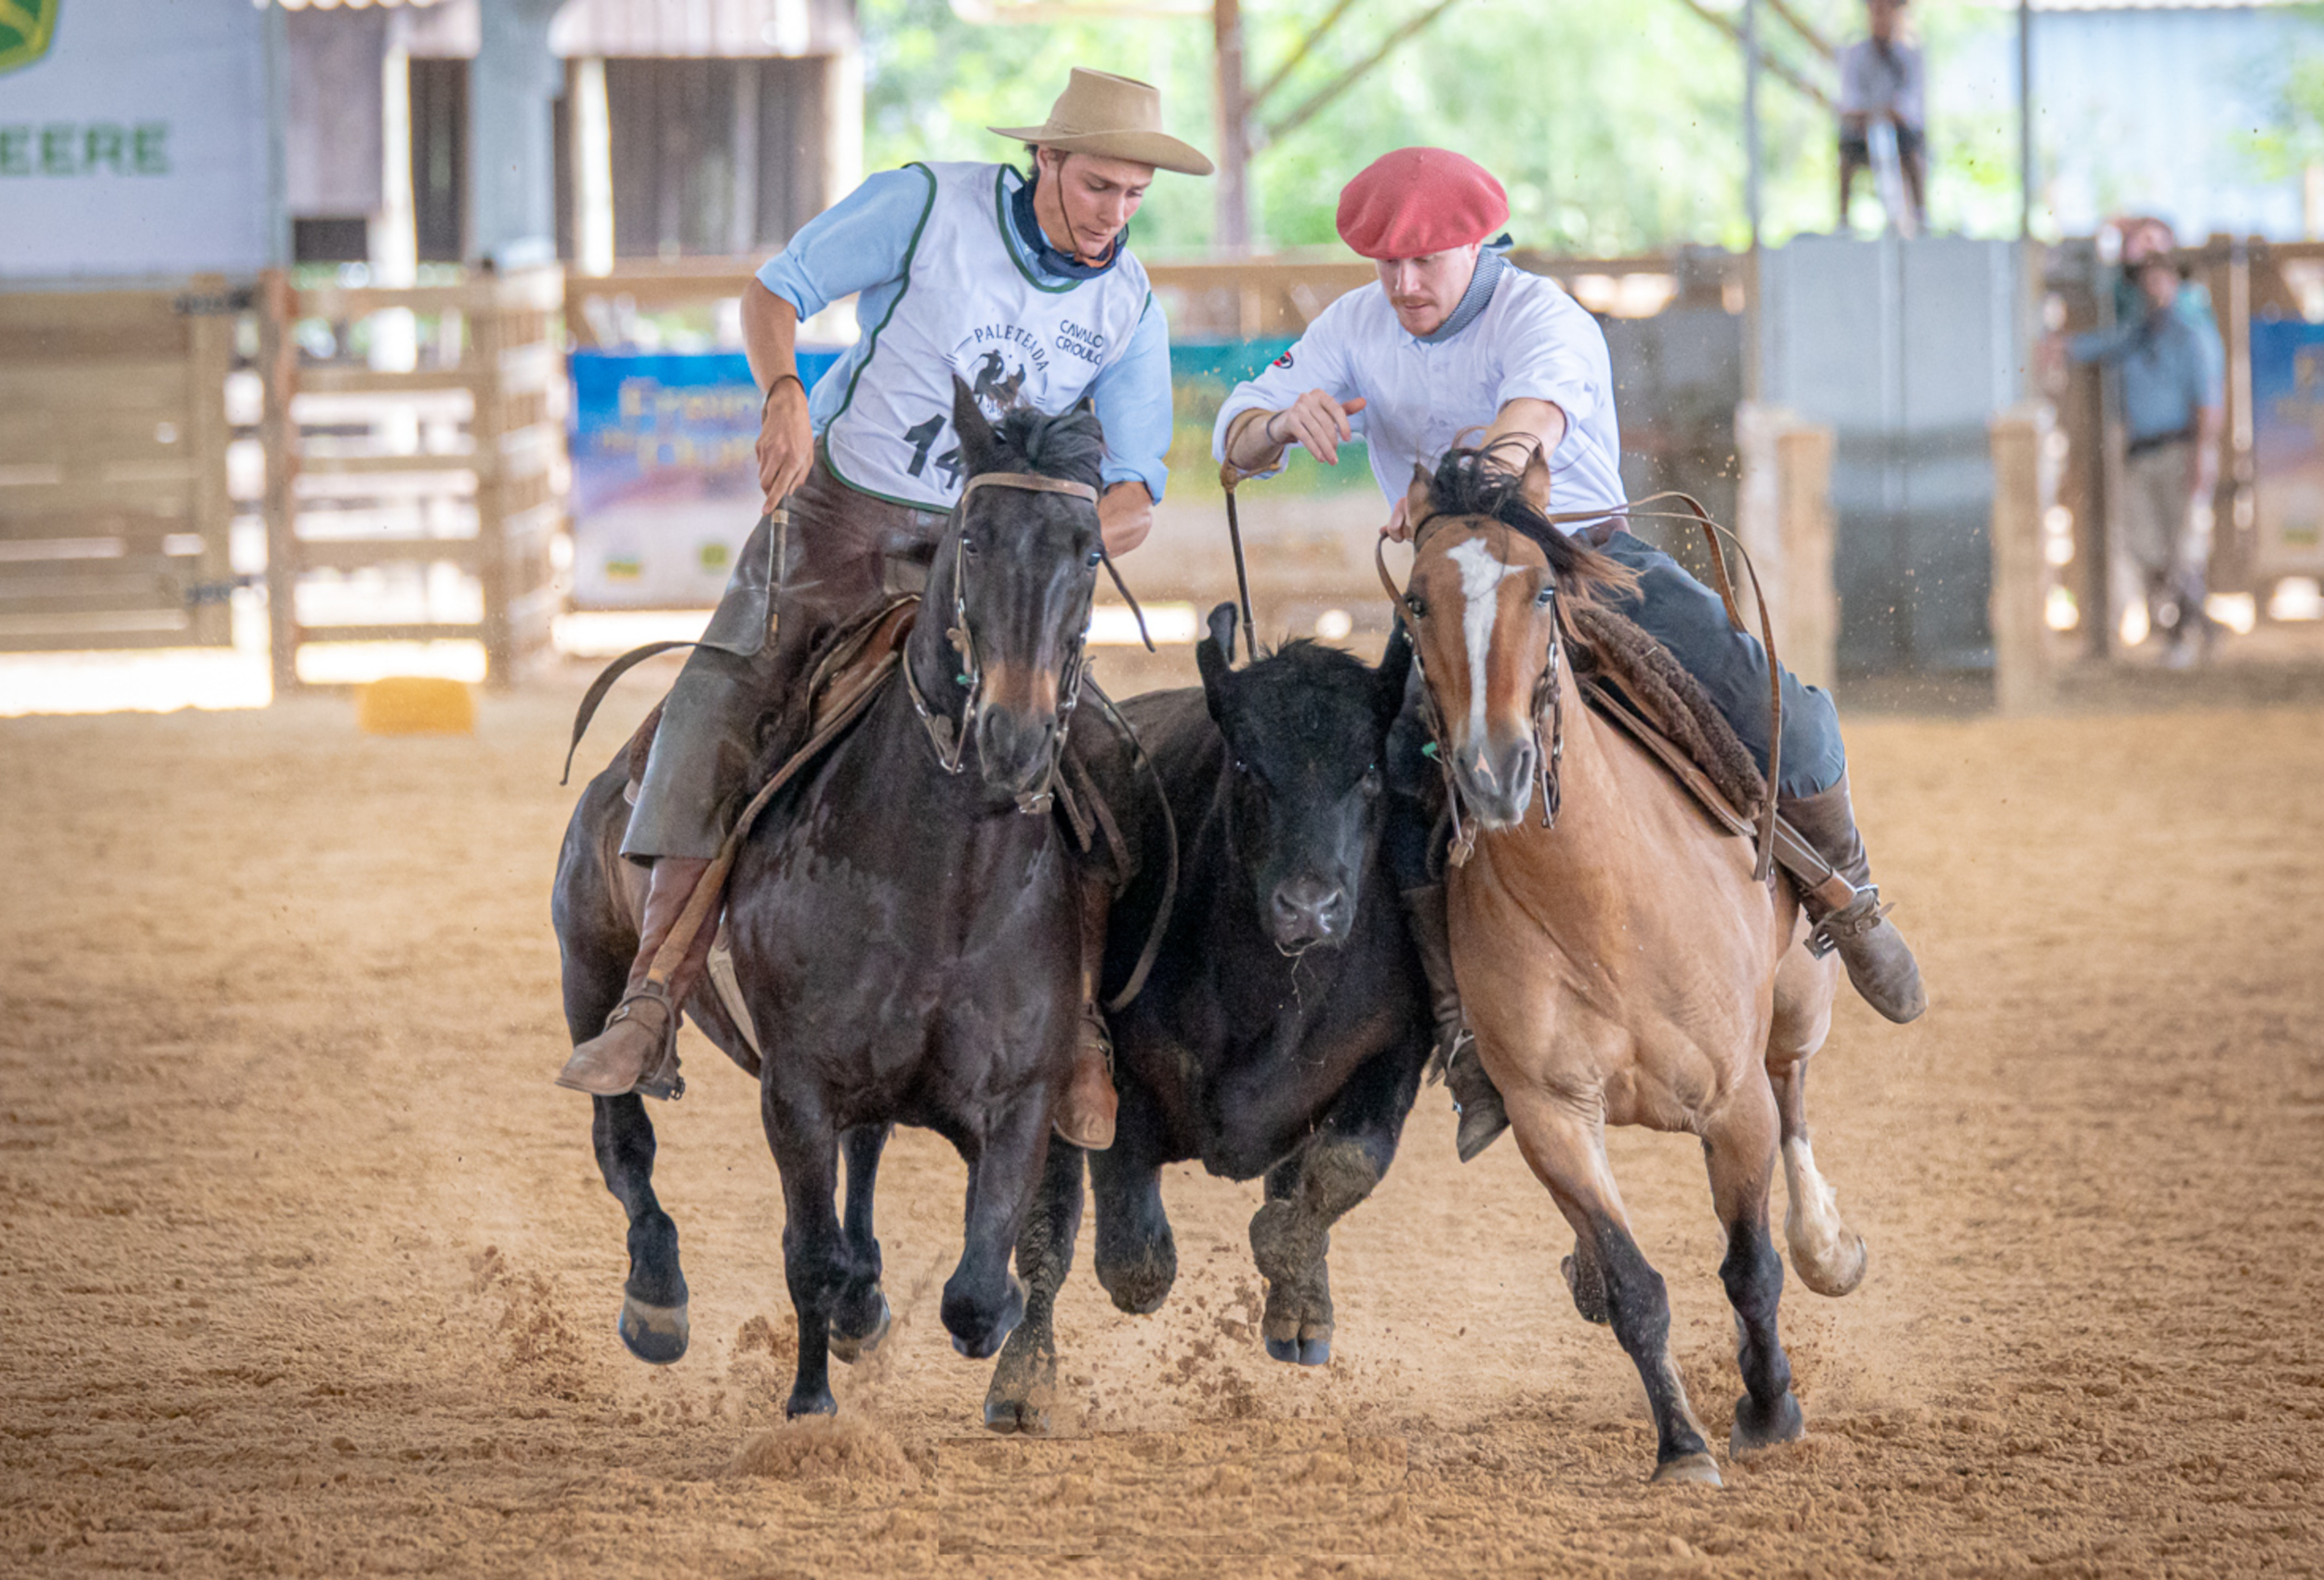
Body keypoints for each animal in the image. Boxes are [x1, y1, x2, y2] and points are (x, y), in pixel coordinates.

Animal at [553, 386, 1116, 1422]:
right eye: (973, 537)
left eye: (1089, 550)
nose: (1014, 735)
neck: (947, 885)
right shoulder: (797, 1088)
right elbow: (807, 1252)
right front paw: (810, 1403)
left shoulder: (1023, 1096)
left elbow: (995, 1268)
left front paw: (1011, 1365)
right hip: (589, 964)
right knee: (624, 1138)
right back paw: (657, 1297)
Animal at [981, 609, 1432, 1441]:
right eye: (1248, 766)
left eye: (1368, 772)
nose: (1309, 907)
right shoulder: (1114, 1073)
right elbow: (1133, 1256)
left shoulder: (1397, 1048)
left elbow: (1339, 1169)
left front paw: (1294, 1277)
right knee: (1046, 1229)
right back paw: (1022, 1381)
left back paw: (1299, 1313)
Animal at [1376, 441, 1868, 1478]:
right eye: (1417, 603)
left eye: (1538, 591)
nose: (1494, 770)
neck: (1601, 906)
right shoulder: (1550, 1114)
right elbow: (1640, 1284)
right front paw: (1681, 1444)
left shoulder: (1733, 1103)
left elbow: (1749, 1265)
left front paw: (1770, 1410)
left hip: (1801, 991)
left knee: (1797, 1088)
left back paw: (1826, 1243)